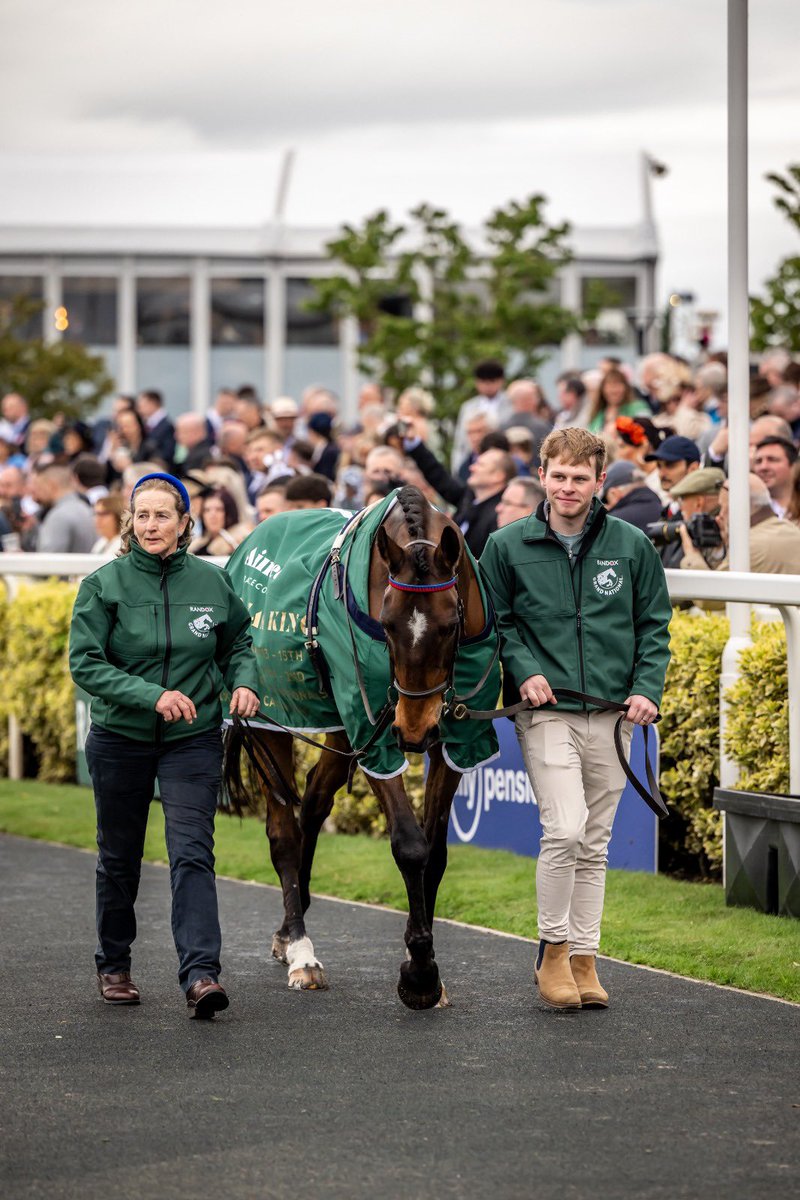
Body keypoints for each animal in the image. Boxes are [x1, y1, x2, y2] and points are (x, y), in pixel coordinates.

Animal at [220, 482, 501, 1008]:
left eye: (450, 626)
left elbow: (435, 852)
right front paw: (419, 974)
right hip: (269, 711)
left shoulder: (456, 737)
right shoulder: (372, 729)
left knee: (314, 797)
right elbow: (410, 845)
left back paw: (291, 927)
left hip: (337, 720)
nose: (412, 732)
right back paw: (301, 951)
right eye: (387, 623)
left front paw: (425, 963)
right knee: (283, 830)